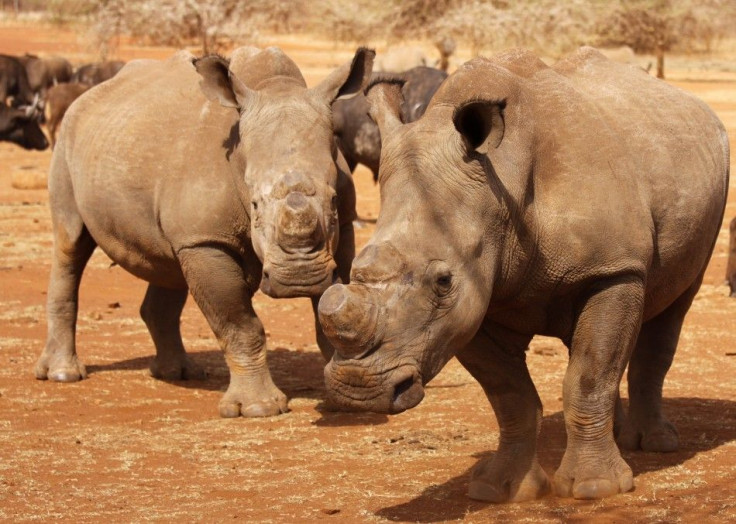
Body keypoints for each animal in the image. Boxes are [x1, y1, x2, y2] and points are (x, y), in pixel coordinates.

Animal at [34, 47, 374, 420]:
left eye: (333, 200)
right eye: (255, 205)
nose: (300, 278)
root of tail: (88, 95)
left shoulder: (343, 227)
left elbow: (331, 312)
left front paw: (347, 397)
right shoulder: (205, 240)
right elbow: (239, 324)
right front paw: (257, 409)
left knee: (166, 265)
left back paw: (177, 373)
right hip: (68, 143)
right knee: (70, 244)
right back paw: (63, 375)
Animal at [318, 47, 732, 502]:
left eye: (443, 282)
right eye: (355, 271)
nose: (358, 390)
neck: (503, 183)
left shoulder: (614, 269)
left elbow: (588, 379)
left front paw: (595, 489)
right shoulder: (476, 297)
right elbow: (510, 395)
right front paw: (500, 490)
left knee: (672, 309)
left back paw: (655, 444)